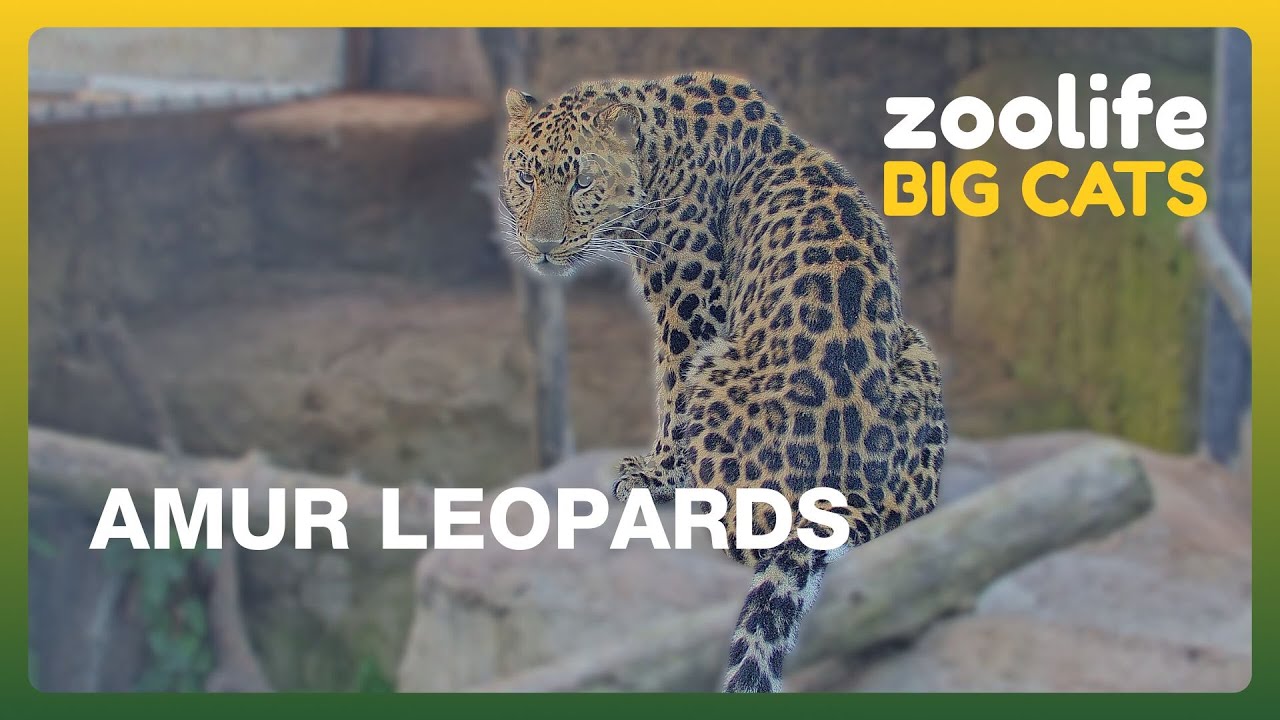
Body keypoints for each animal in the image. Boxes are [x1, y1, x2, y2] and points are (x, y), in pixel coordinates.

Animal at [499, 71, 947, 693]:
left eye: (582, 181)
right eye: (525, 177)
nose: (541, 248)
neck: (660, 146)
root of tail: (852, 498)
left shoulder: (691, 308)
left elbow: (671, 385)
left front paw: (656, 475)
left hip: (719, 370)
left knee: (746, 534)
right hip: (917, 350)